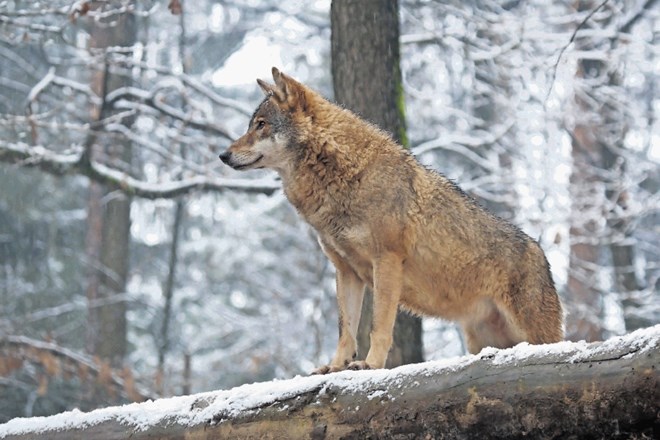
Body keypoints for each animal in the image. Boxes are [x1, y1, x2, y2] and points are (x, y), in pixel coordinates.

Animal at [220, 67, 564, 372]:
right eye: (251, 125)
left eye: (261, 125)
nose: (223, 155)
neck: (345, 174)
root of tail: (542, 255)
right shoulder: (346, 272)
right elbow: (346, 330)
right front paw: (334, 367)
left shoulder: (386, 261)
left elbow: (378, 326)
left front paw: (370, 365)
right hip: (482, 339)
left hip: (533, 334)